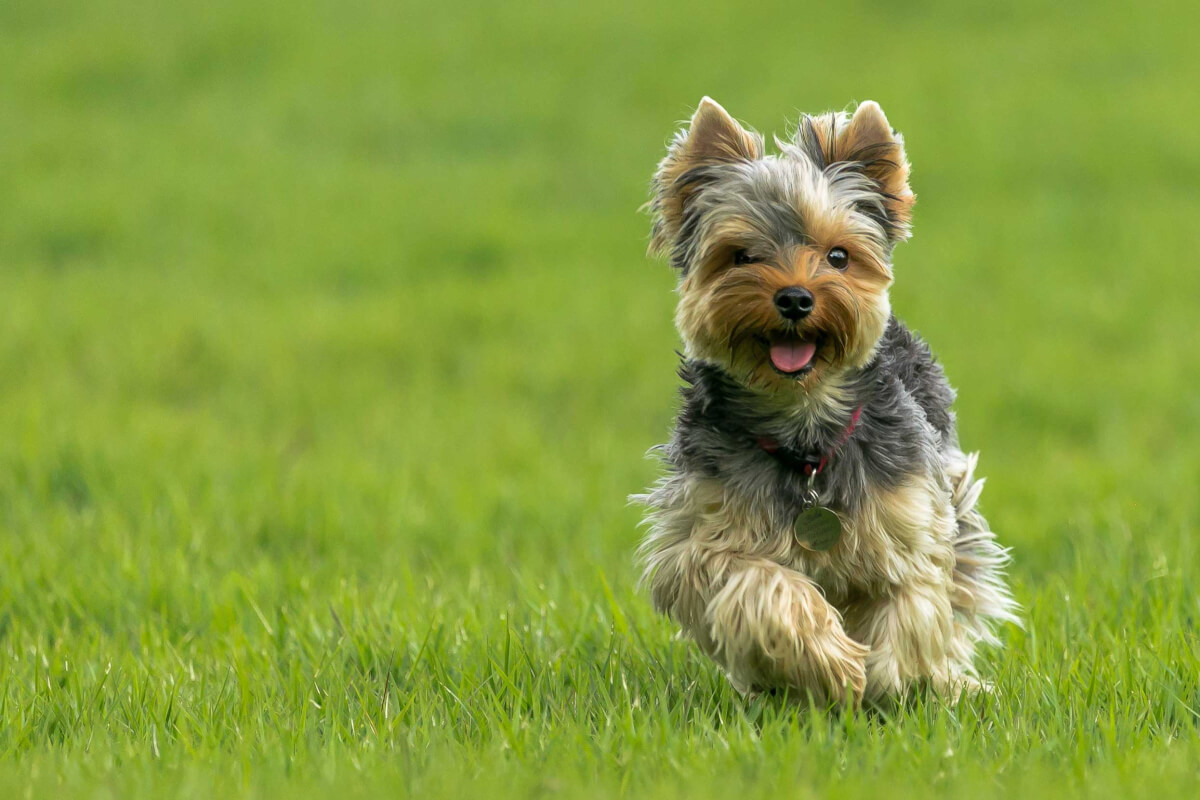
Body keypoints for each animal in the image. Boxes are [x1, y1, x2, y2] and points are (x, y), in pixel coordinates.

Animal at [633, 97, 1017, 705]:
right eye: (741, 255)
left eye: (838, 256)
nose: (795, 298)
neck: (805, 429)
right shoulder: (703, 536)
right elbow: (760, 588)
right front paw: (829, 665)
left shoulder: (911, 517)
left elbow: (912, 607)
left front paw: (888, 680)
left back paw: (955, 685)